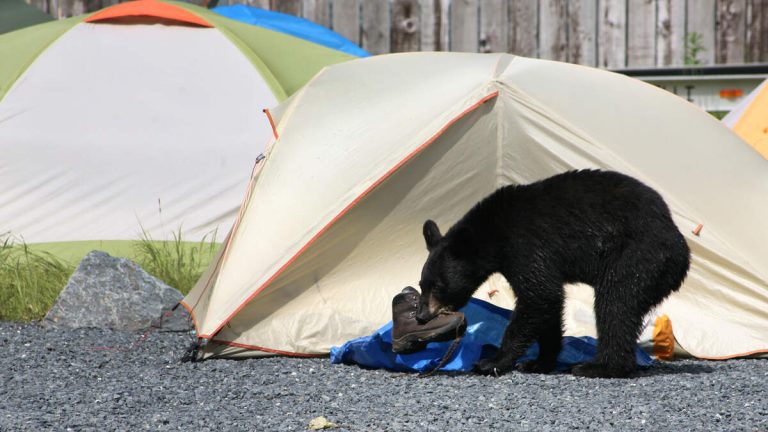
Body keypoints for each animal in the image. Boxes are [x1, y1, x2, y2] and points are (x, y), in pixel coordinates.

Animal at [416, 170, 692, 378]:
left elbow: (539, 295)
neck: (495, 233)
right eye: (422, 284)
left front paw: (491, 362)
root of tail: (681, 248)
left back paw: (599, 367)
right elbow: (549, 304)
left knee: (616, 304)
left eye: (438, 285)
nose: (421, 316)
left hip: (637, 257)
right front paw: (538, 362)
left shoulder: (527, 246)